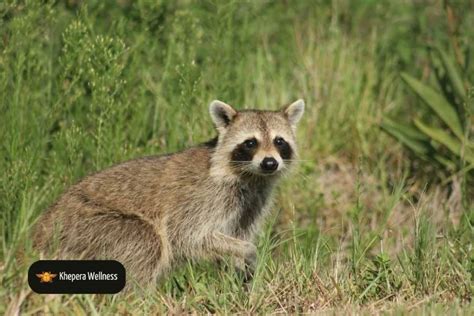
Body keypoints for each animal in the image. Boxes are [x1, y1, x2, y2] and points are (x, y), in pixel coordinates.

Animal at [34, 99, 308, 286]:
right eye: (250, 143)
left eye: (279, 141)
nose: (270, 163)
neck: (251, 177)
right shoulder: (202, 198)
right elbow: (189, 235)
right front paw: (248, 252)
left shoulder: (252, 203)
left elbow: (237, 235)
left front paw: (240, 269)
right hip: (83, 228)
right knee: (146, 239)